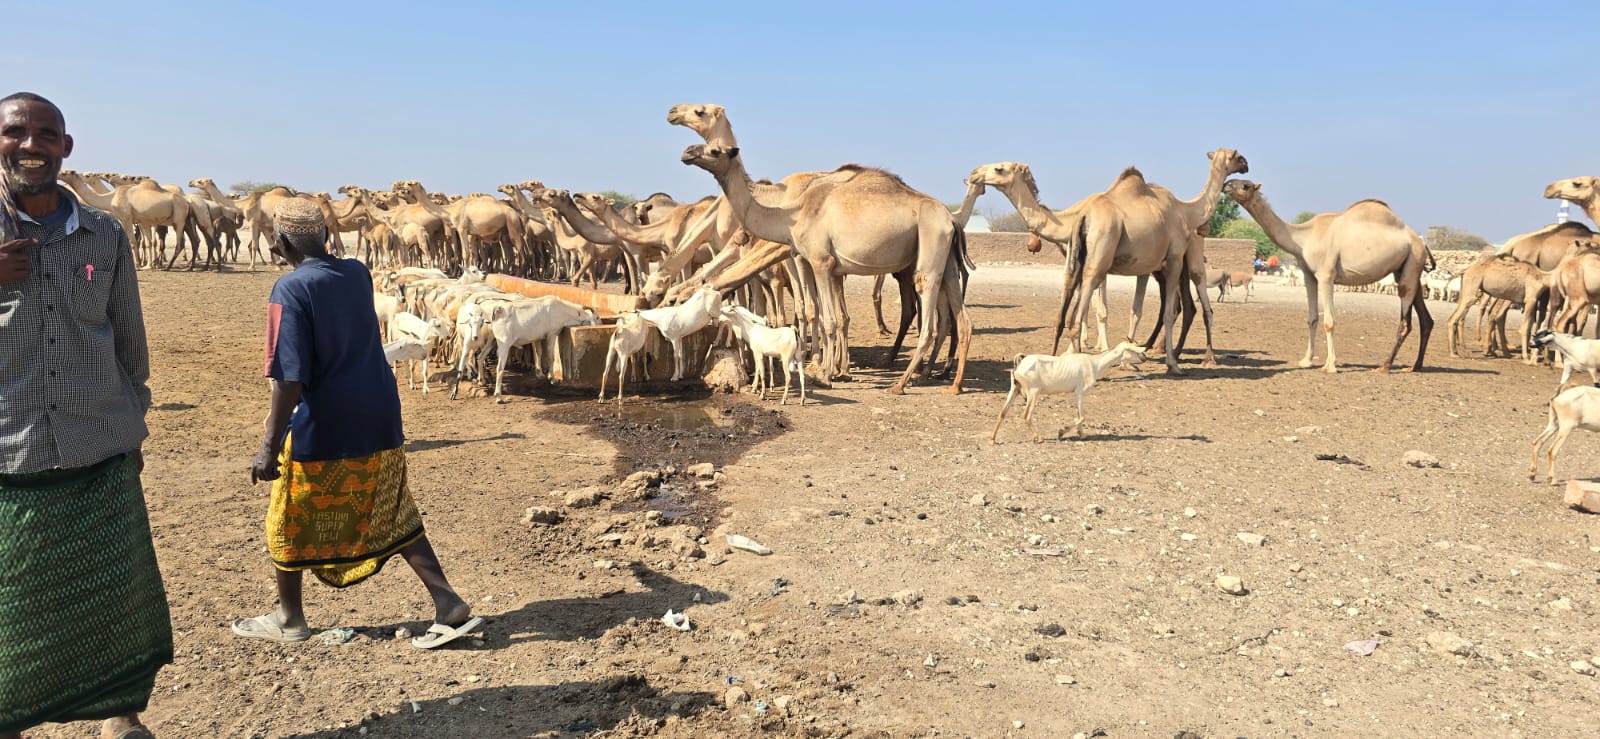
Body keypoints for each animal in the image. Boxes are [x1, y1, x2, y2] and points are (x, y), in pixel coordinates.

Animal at [969, 150, 1248, 372]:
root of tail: (1197, 224)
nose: (973, 174)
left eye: (999, 168)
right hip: (1156, 266)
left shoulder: (1120, 263)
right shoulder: (1093, 263)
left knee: (1197, 303)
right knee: (1184, 306)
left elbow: (1109, 310)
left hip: (1186, 261)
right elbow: (1100, 311)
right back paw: (1161, 351)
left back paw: (1199, 356)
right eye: (1236, 157)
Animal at [991, 342, 1146, 443]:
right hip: (1033, 392)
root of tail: (1020, 363)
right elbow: (1082, 416)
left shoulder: (1078, 394)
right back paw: (1038, 438)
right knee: (1026, 415)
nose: (1144, 358)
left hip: (1015, 389)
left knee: (1002, 413)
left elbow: (1079, 415)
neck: (1094, 363)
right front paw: (1062, 431)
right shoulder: (1080, 392)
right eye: (1134, 350)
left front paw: (1082, 435)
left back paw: (992, 439)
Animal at [1223, 179, 1434, 372]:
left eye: (1246, 185)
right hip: (1408, 269)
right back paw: (1415, 366)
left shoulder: (1326, 275)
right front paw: (1306, 361)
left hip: (1412, 263)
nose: (1227, 184)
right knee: (1426, 320)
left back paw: (1385, 366)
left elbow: (1329, 321)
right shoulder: (1309, 275)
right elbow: (1312, 318)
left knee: (1405, 322)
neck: (1303, 238)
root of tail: (1421, 243)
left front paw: (1330, 365)